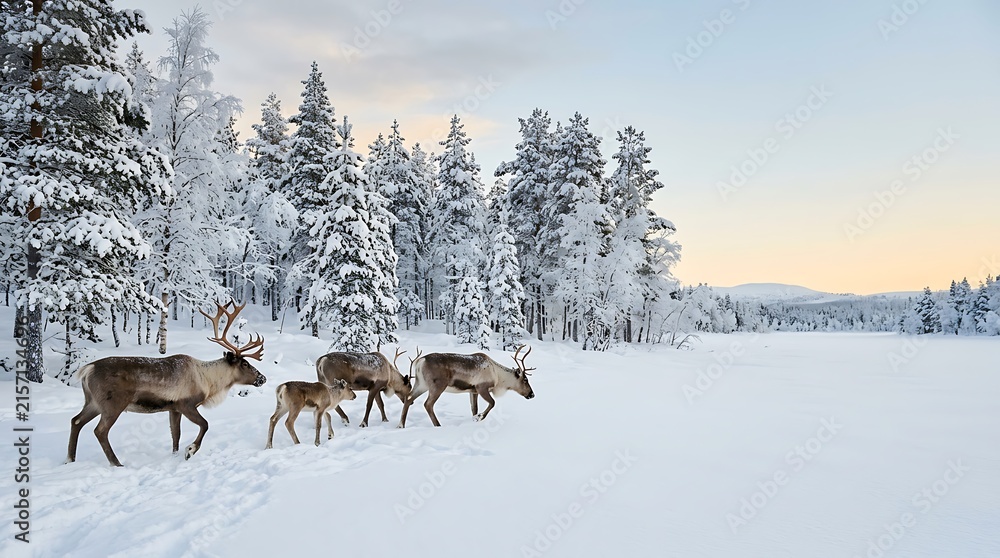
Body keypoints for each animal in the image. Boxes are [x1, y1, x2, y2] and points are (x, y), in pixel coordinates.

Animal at [66, 300, 267, 467]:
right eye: (245, 363)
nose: (262, 378)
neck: (209, 382)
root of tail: (87, 370)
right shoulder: (186, 404)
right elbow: (205, 424)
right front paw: (190, 450)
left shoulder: (173, 408)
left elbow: (175, 435)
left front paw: (175, 455)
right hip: (112, 404)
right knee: (100, 431)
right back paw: (116, 463)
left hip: (93, 402)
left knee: (76, 420)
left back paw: (70, 459)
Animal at [397, 345, 536, 428]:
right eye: (525, 379)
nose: (532, 394)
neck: (498, 376)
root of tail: (420, 362)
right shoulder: (481, 388)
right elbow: (492, 403)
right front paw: (480, 417)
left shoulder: (473, 391)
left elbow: (474, 408)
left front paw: (475, 418)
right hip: (437, 386)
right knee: (428, 404)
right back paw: (438, 425)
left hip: (421, 384)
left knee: (408, 399)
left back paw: (401, 425)